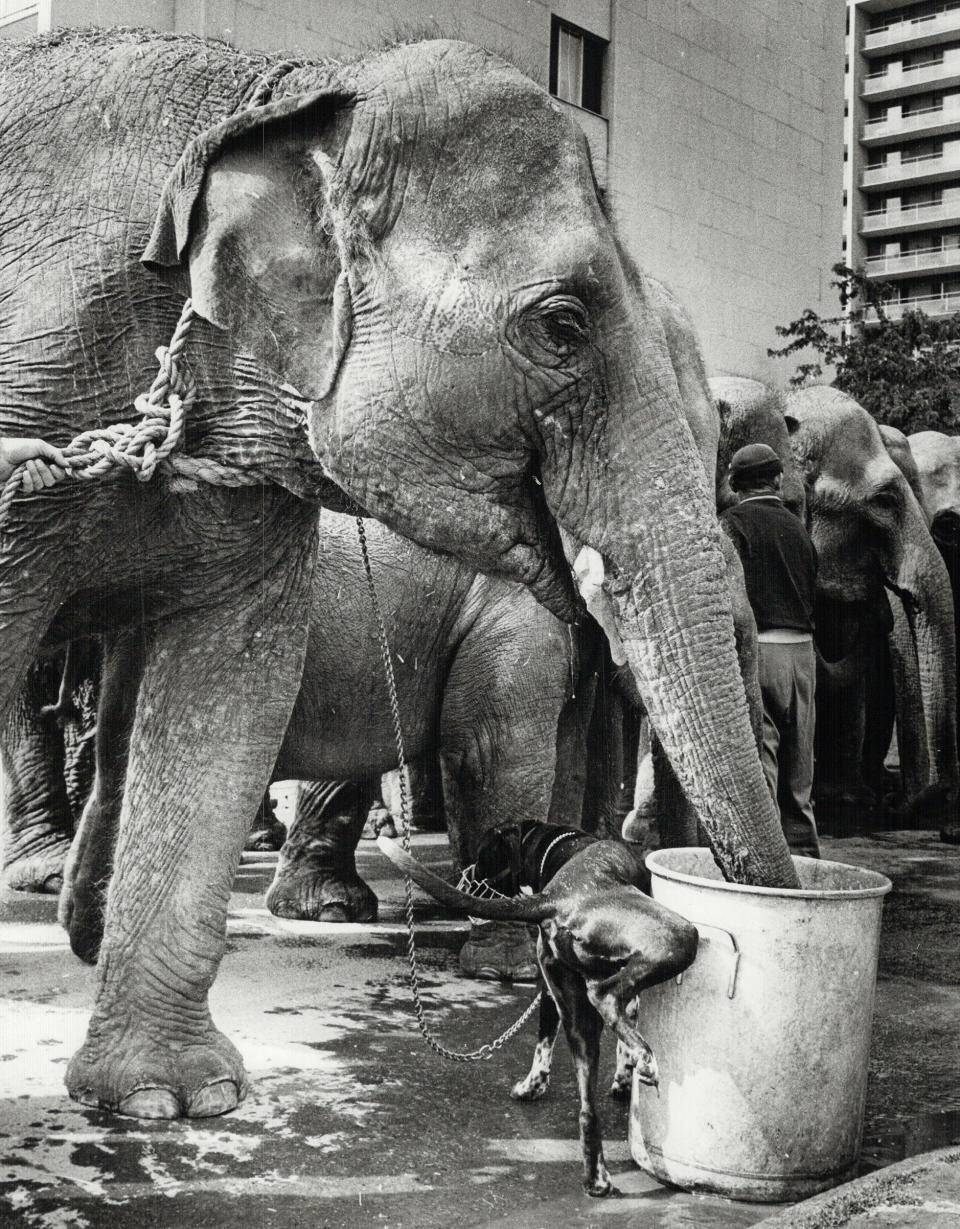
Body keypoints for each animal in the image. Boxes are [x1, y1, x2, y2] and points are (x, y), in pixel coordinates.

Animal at [0, 31, 791, 1125]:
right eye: (562, 325)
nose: (749, 915)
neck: (278, 95)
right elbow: (494, 736)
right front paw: (509, 962)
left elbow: (227, 690)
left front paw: (171, 1098)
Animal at [373, 820, 698, 1194]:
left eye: (483, 856)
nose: (465, 877)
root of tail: (557, 899)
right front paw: (625, 1075)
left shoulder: (548, 990)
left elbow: (546, 1043)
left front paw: (537, 1085)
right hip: (678, 936)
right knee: (605, 996)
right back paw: (644, 1060)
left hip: (579, 1019)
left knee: (588, 1110)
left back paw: (596, 1178)